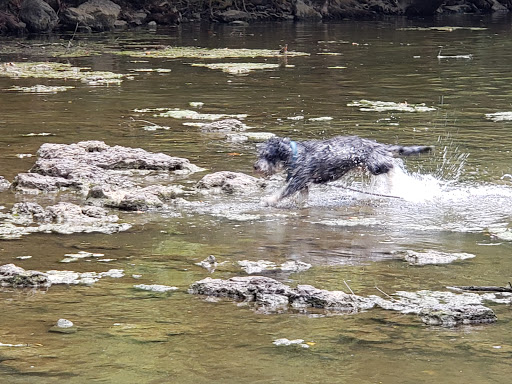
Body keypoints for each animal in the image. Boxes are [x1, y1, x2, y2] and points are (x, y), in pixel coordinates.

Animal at [253, 136, 432, 206]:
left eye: (268, 156)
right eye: (260, 154)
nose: (255, 166)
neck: (297, 155)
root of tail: (379, 146)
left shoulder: (297, 181)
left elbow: (281, 192)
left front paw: (268, 200)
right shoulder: (303, 185)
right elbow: (301, 198)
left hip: (375, 165)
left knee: (391, 166)